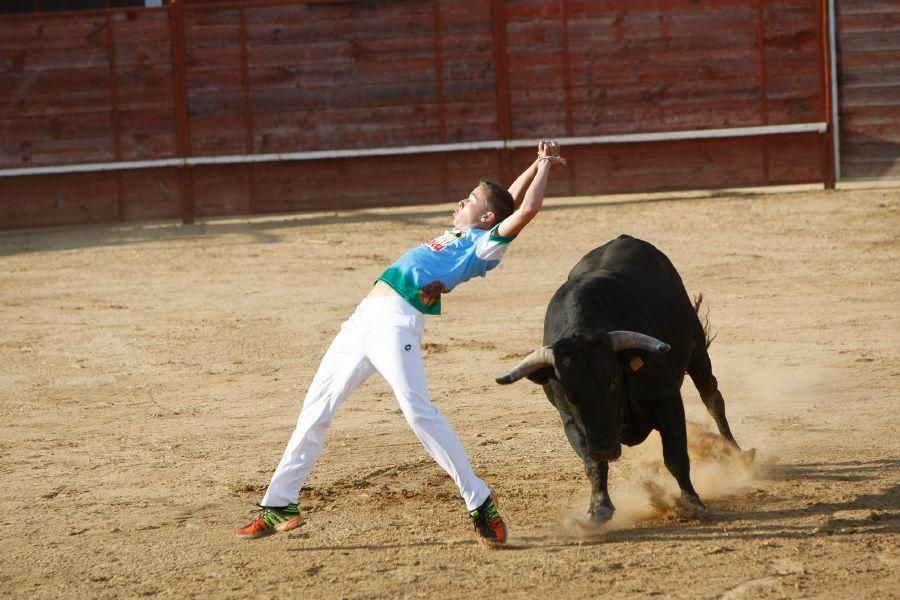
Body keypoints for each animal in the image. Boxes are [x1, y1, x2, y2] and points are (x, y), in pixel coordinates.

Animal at [492, 234, 744, 520]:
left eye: (613, 381)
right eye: (571, 394)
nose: (606, 449)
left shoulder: (667, 399)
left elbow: (676, 454)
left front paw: (692, 502)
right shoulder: (570, 420)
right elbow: (592, 464)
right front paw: (599, 506)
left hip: (697, 350)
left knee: (712, 397)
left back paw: (736, 454)